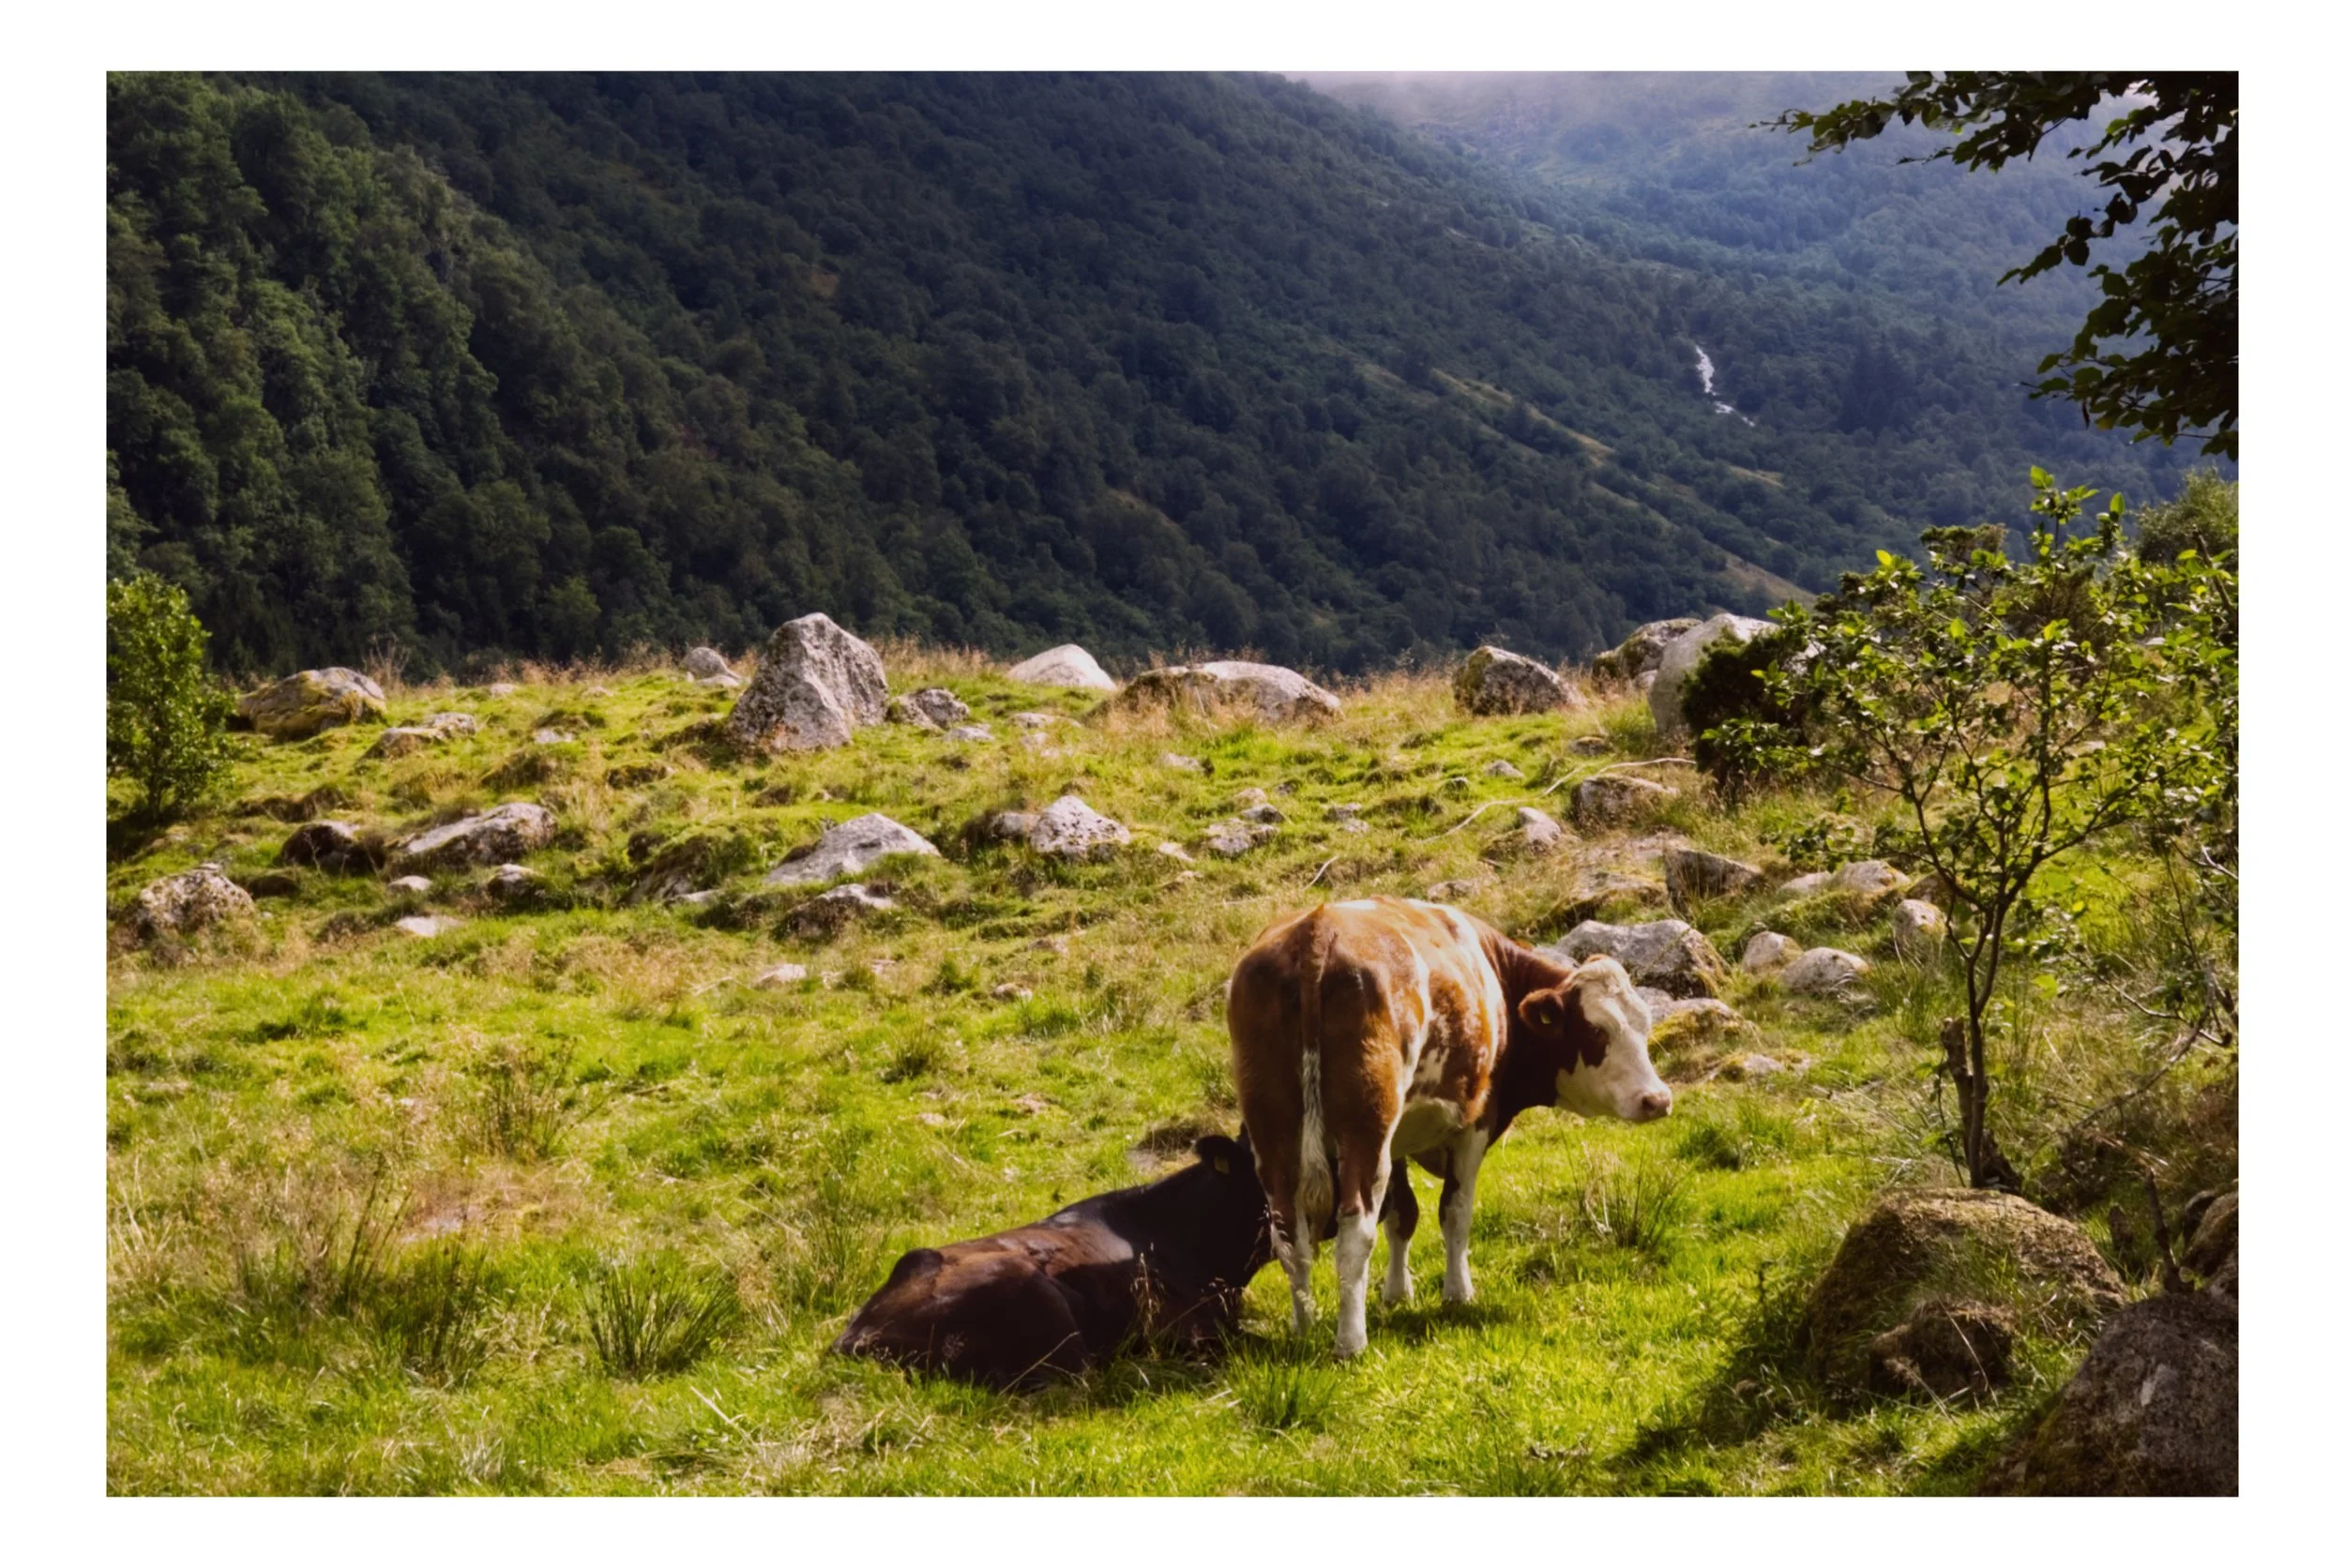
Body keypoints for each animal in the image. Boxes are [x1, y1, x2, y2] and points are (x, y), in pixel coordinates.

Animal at [1228, 896, 1673, 1358]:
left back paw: (1304, 1328)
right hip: (1365, 1129)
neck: (1498, 977)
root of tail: (1318, 927)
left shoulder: (1398, 1140)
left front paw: (1397, 1293)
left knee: (1289, 1234)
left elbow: (1402, 1214)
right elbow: (1455, 1212)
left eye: (1645, 1025)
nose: (1657, 1099)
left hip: (1273, 1130)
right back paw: (1351, 1341)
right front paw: (1458, 1293)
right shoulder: (1475, 1122)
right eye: (1596, 1030)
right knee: (1355, 1233)